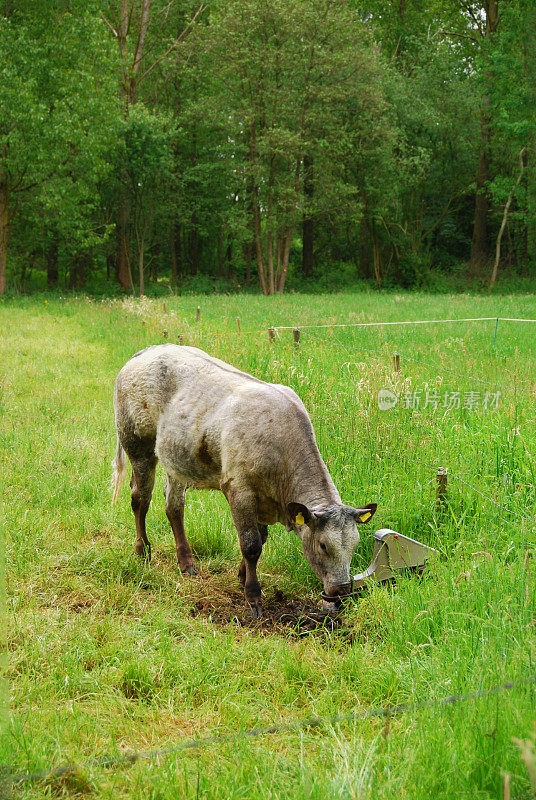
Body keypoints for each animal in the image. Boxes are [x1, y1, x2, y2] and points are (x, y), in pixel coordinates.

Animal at [111, 346, 374, 620]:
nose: (342, 590)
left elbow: (261, 537)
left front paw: (242, 575)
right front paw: (253, 596)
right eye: (323, 545)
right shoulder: (240, 490)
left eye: (355, 544)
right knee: (140, 499)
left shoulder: (265, 499)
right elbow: (251, 545)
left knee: (174, 507)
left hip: (176, 458)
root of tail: (146, 352)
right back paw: (142, 551)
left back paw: (186, 562)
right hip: (137, 444)